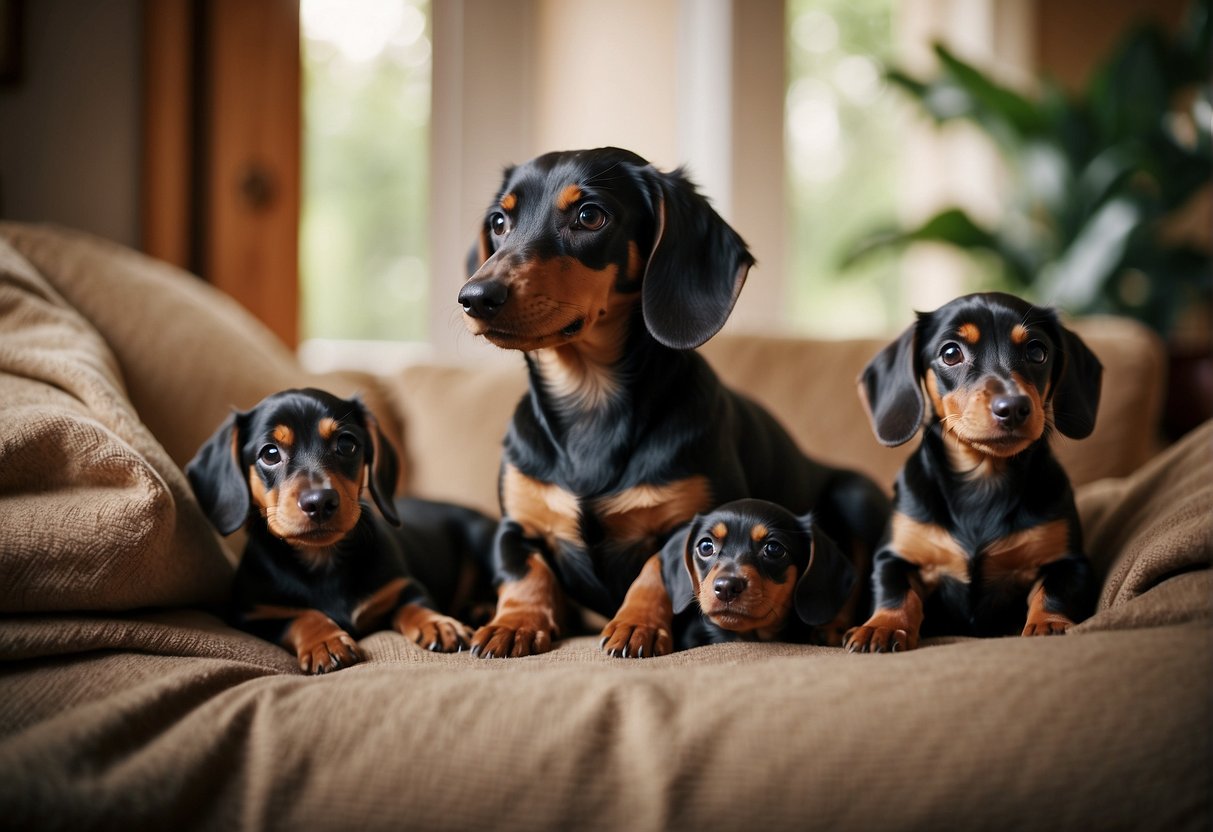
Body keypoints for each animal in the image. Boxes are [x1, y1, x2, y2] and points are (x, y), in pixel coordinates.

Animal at [186, 388, 494, 674]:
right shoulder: (254, 615)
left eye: (346, 443)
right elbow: (300, 616)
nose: (319, 502)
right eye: (270, 453)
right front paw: (325, 641)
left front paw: (439, 624)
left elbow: (415, 605)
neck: (322, 558)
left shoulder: (404, 586)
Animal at [844, 292, 1101, 650]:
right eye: (951, 353)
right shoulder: (892, 556)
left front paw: (1049, 623)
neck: (983, 478)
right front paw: (882, 625)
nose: (1014, 407)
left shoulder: (1070, 562)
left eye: (1037, 351)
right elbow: (896, 590)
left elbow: (1054, 591)